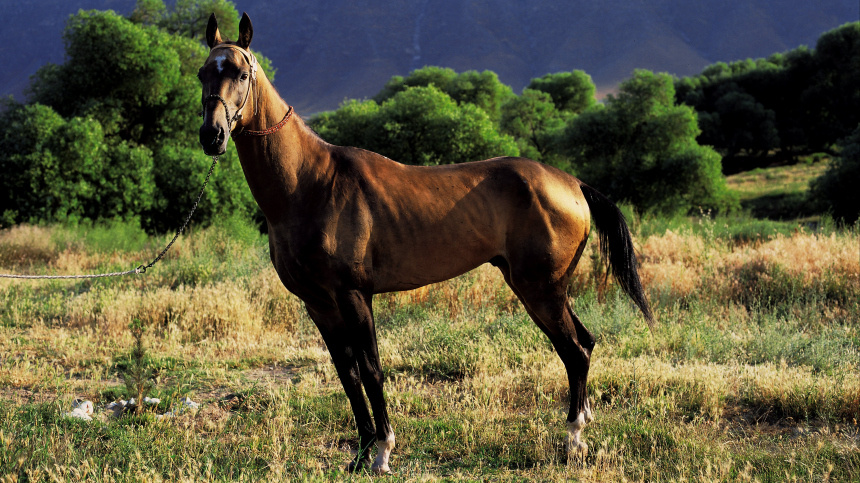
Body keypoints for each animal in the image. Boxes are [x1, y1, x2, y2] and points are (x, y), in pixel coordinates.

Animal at [195, 12, 652, 476]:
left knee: (574, 352)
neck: (311, 184)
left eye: (241, 73)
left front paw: (382, 452)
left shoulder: (355, 295)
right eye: (203, 73)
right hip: (545, 290)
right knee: (584, 344)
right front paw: (360, 454)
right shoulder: (318, 303)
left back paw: (573, 439)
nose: (211, 136)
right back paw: (583, 424)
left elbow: (371, 370)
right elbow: (347, 375)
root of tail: (572, 183)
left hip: (541, 290)